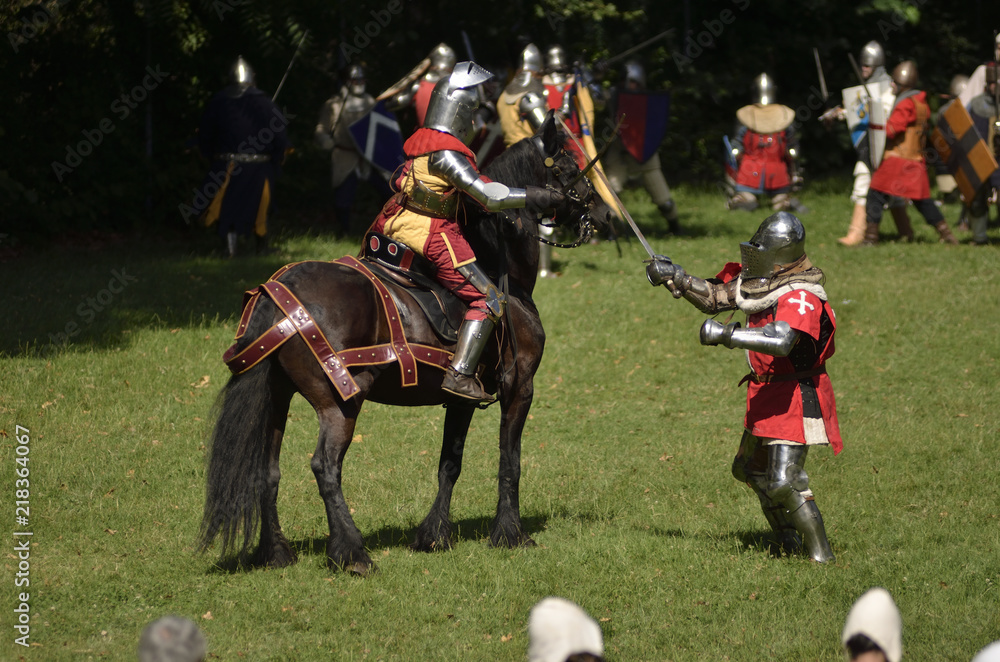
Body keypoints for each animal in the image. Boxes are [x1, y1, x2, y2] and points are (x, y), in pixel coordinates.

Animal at [197, 115, 600, 576]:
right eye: (569, 165)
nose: (598, 211)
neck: (503, 268)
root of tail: (277, 293)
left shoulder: (460, 398)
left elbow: (450, 463)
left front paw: (433, 535)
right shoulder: (520, 387)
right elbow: (510, 460)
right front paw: (511, 533)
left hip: (277, 396)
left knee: (268, 469)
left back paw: (276, 552)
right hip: (340, 404)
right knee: (325, 467)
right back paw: (353, 553)